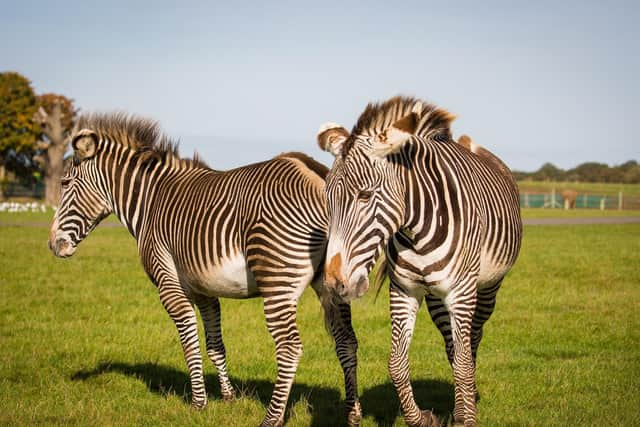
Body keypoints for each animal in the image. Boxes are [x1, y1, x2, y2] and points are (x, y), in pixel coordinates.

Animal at [47, 113, 362, 427]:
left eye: (64, 182)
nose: (53, 246)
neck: (150, 201)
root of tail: (316, 172)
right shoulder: (204, 290)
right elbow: (214, 344)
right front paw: (228, 396)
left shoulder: (169, 285)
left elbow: (189, 342)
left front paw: (199, 403)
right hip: (333, 279)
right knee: (346, 342)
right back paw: (353, 414)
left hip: (278, 283)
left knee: (290, 348)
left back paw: (271, 418)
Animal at [318, 98, 524, 427]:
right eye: (328, 198)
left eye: (365, 196)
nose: (334, 283)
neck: (417, 230)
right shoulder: (404, 290)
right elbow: (397, 364)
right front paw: (422, 418)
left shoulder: (461, 292)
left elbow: (464, 362)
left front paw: (467, 418)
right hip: (436, 299)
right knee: (452, 346)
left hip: (487, 288)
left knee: (472, 341)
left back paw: (467, 403)